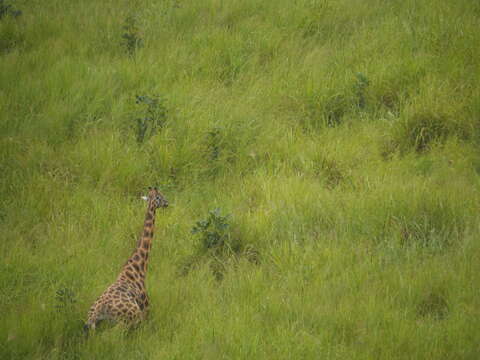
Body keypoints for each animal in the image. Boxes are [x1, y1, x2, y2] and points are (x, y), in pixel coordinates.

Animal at [84, 188, 169, 332]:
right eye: (160, 197)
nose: (167, 203)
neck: (139, 268)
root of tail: (96, 312)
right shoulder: (145, 309)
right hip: (130, 318)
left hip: (94, 324)